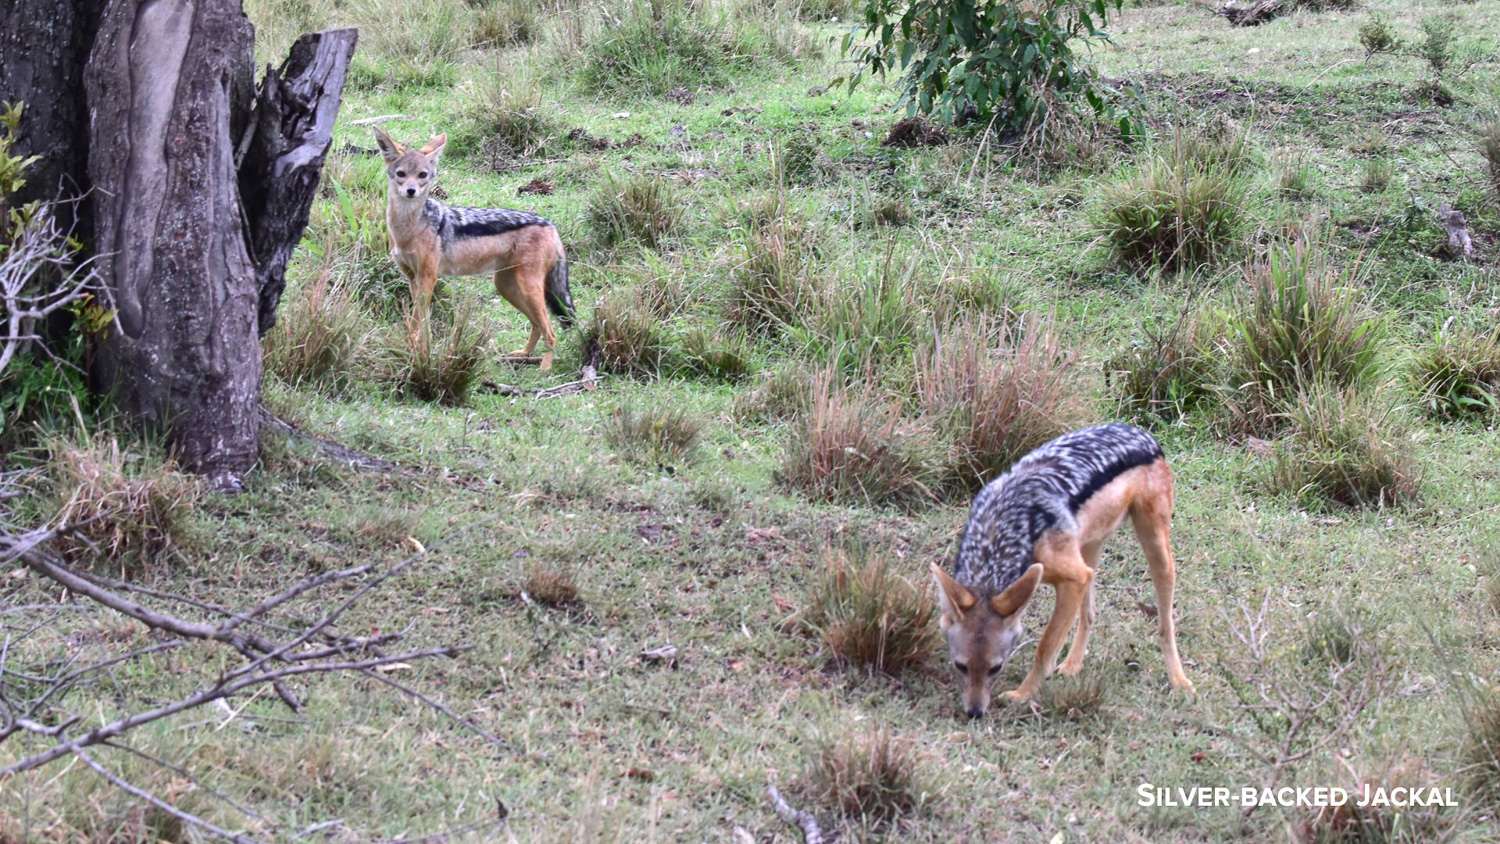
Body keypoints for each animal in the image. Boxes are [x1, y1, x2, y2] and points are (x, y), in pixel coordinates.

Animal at [372, 127, 574, 371]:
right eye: (401, 174)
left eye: (422, 175)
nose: (410, 191)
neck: (407, 229)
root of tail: (550, 225)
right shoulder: (413, 278)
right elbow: (422, 322)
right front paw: (420, 351)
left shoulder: (428, 277)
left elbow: (416, 320)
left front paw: (415, 351)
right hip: (506, 287)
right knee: (537, 325)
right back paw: (524, 355)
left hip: (528, 288)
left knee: (550, 331)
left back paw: (544, 369)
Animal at [930, 424, 1194, 717]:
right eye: (960, 666)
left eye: (995, 668)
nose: (975, 712)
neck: (1004, 528)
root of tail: (1139, 431)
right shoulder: (1076, 576)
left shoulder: (1073, 579)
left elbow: (1044, 648)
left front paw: (1022, 695)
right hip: (1089, 555)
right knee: (1090, 614)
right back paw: (1072, 666)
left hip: (1155, 553)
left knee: (1164, 624)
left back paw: (1179, 680)